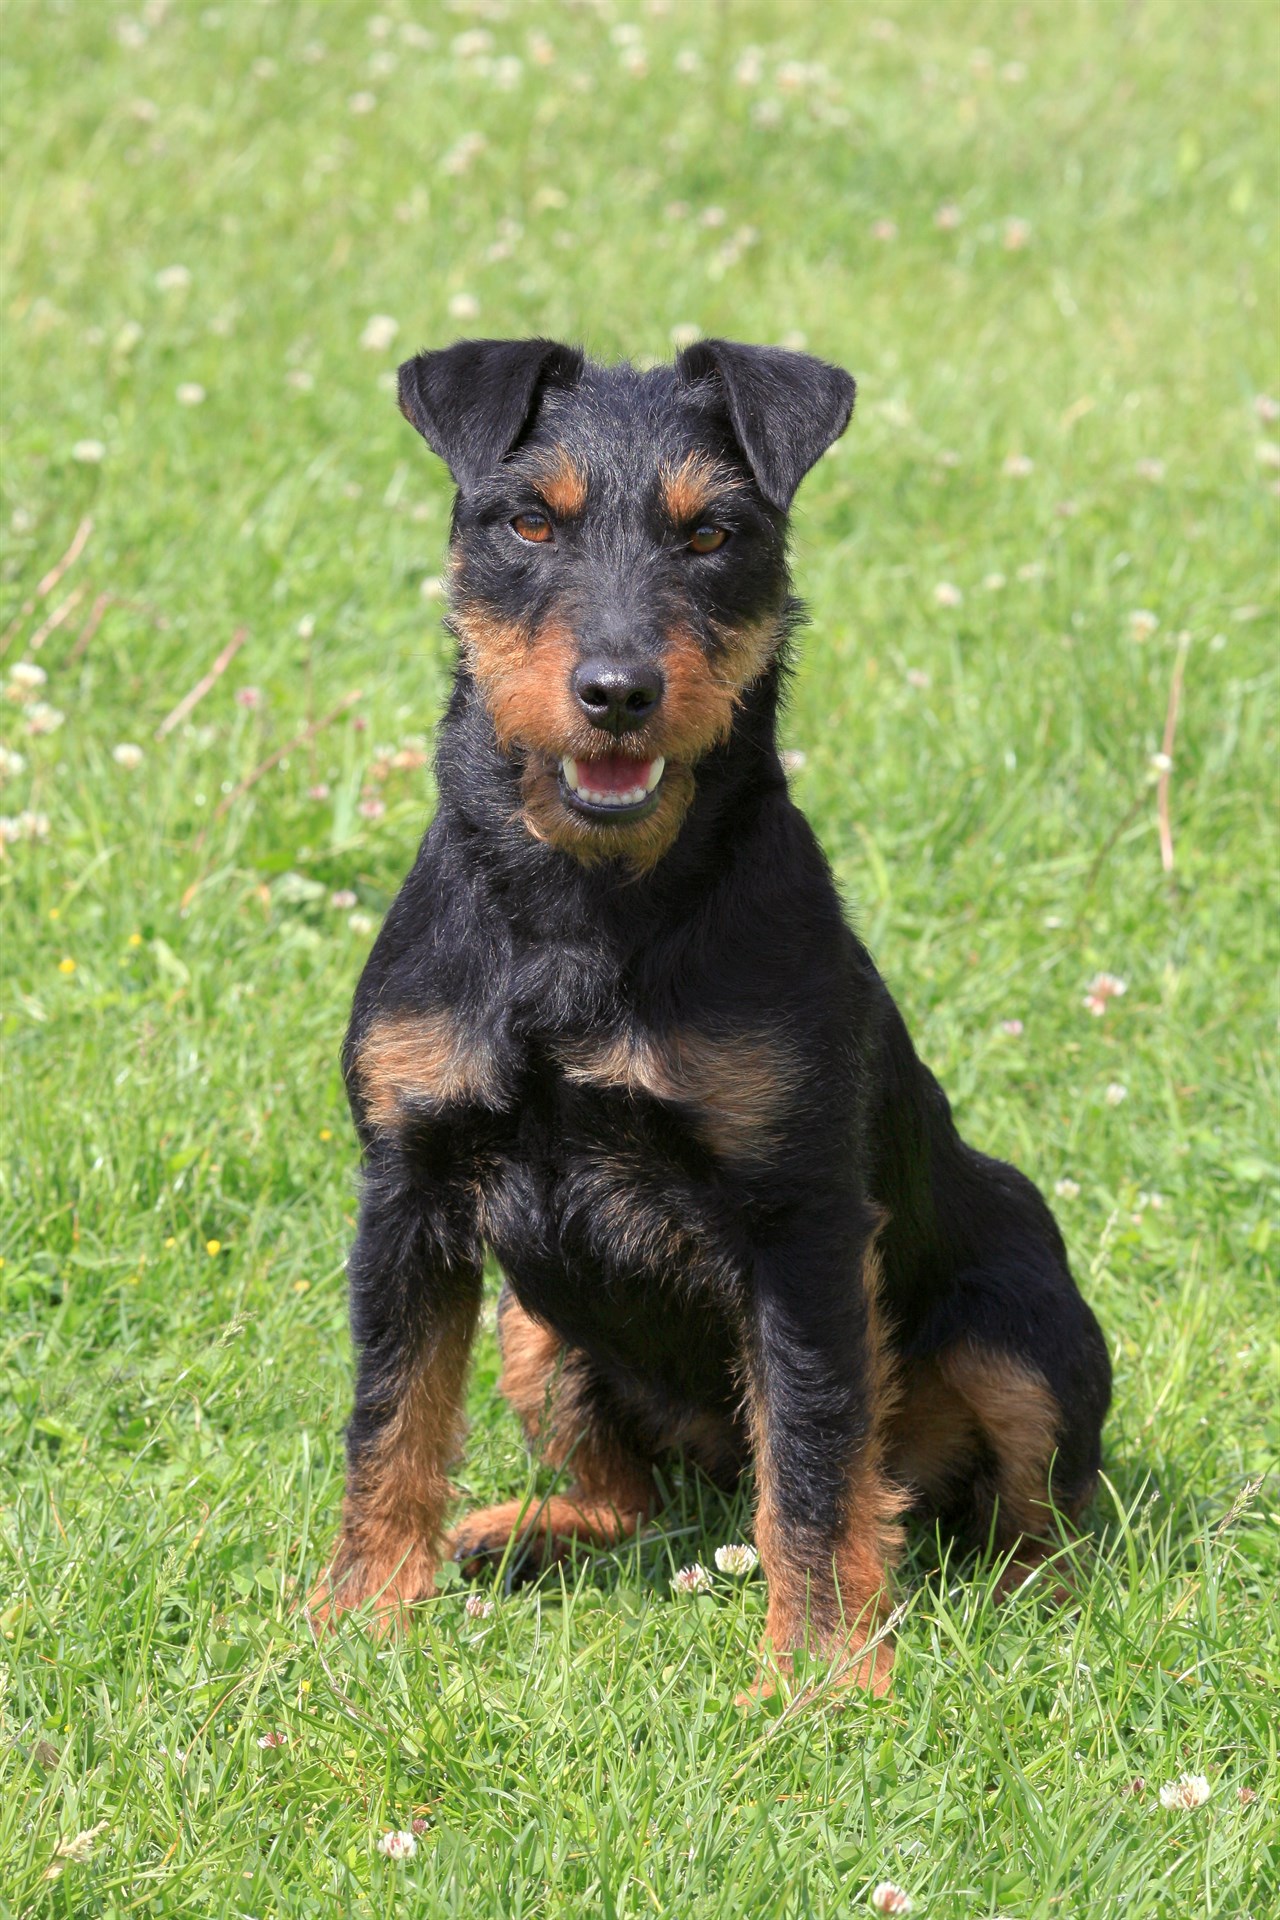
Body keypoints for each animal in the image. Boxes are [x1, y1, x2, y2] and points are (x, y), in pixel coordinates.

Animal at [314, 341, 1113, 1697]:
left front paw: (820, 1676)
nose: (616, 693)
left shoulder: (797, 1226)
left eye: (711, 535)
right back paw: (520, 1535)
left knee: (1022, 1509)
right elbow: (393, 1418)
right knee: (631, 1494)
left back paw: (1019, 1613)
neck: (582, 911)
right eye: (529, 522)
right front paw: (357, 1616)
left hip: (1020, 1321)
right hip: (536, 1330)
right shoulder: (410, 1190)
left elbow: (818, 1453)